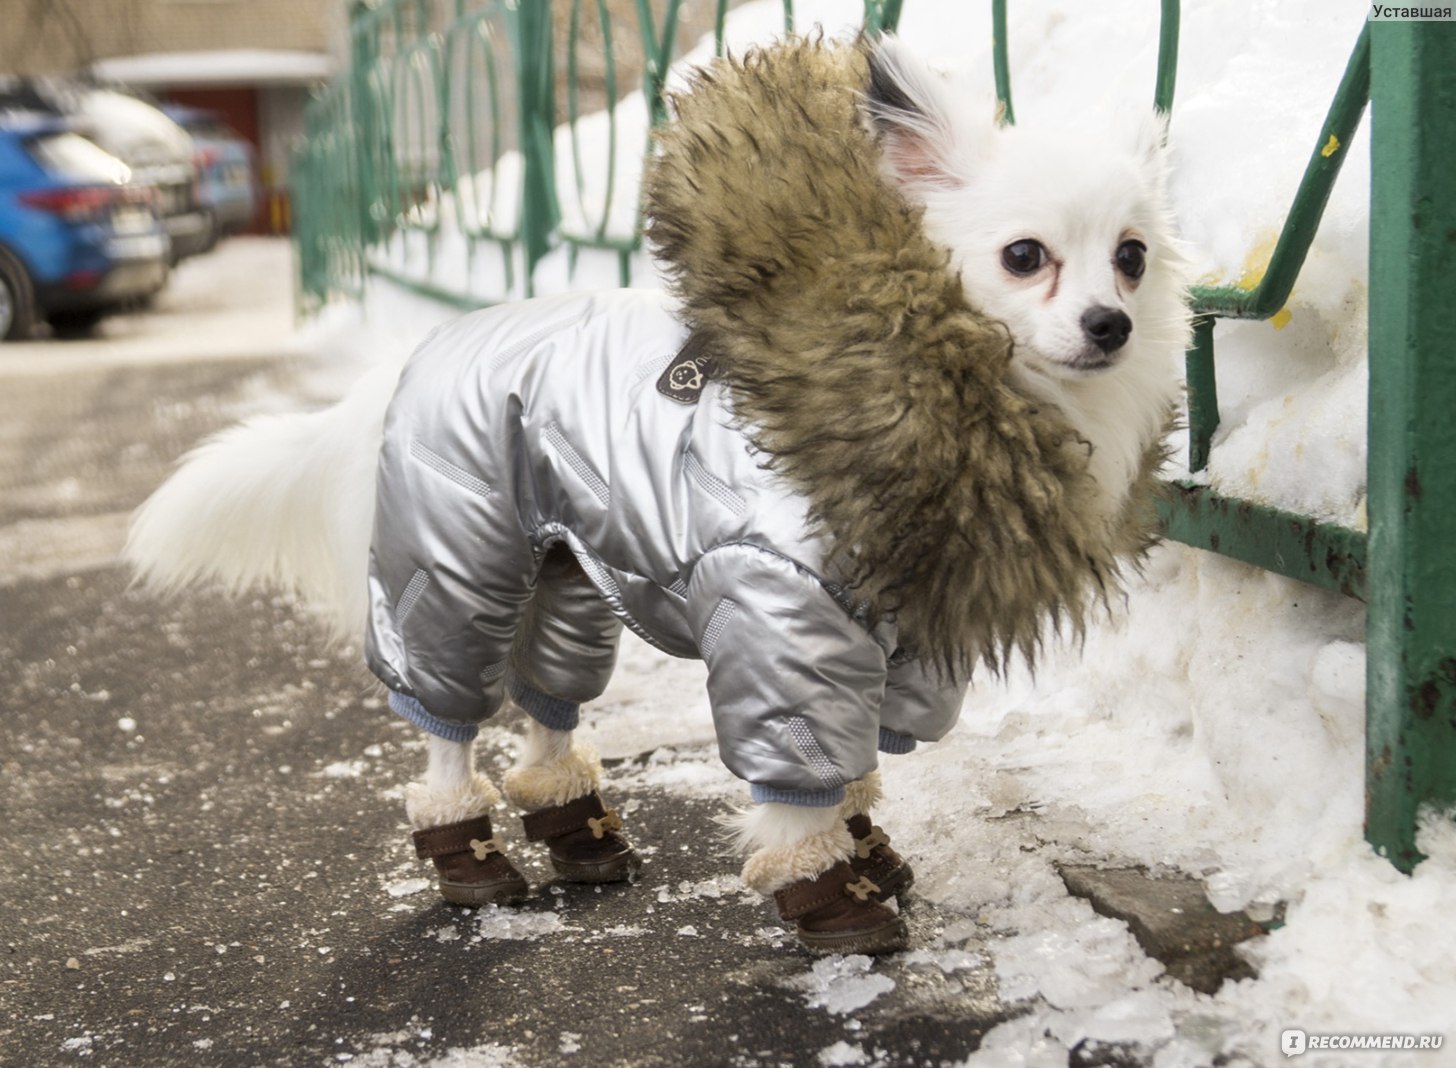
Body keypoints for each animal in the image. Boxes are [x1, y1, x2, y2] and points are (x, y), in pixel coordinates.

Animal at [128, 37, 1193, 960]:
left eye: (1132, 257)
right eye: (1025, 256)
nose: (1111, 324)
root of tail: (423, 347)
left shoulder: (909, 630)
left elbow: (857, 766)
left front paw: (867, 851)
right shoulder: (783, 612)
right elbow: (800, 774)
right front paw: (822, 891)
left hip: (568, 572)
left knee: (548, 703)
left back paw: (576, 828)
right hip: (452, 561)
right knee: (445, 718)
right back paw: (466, 853)